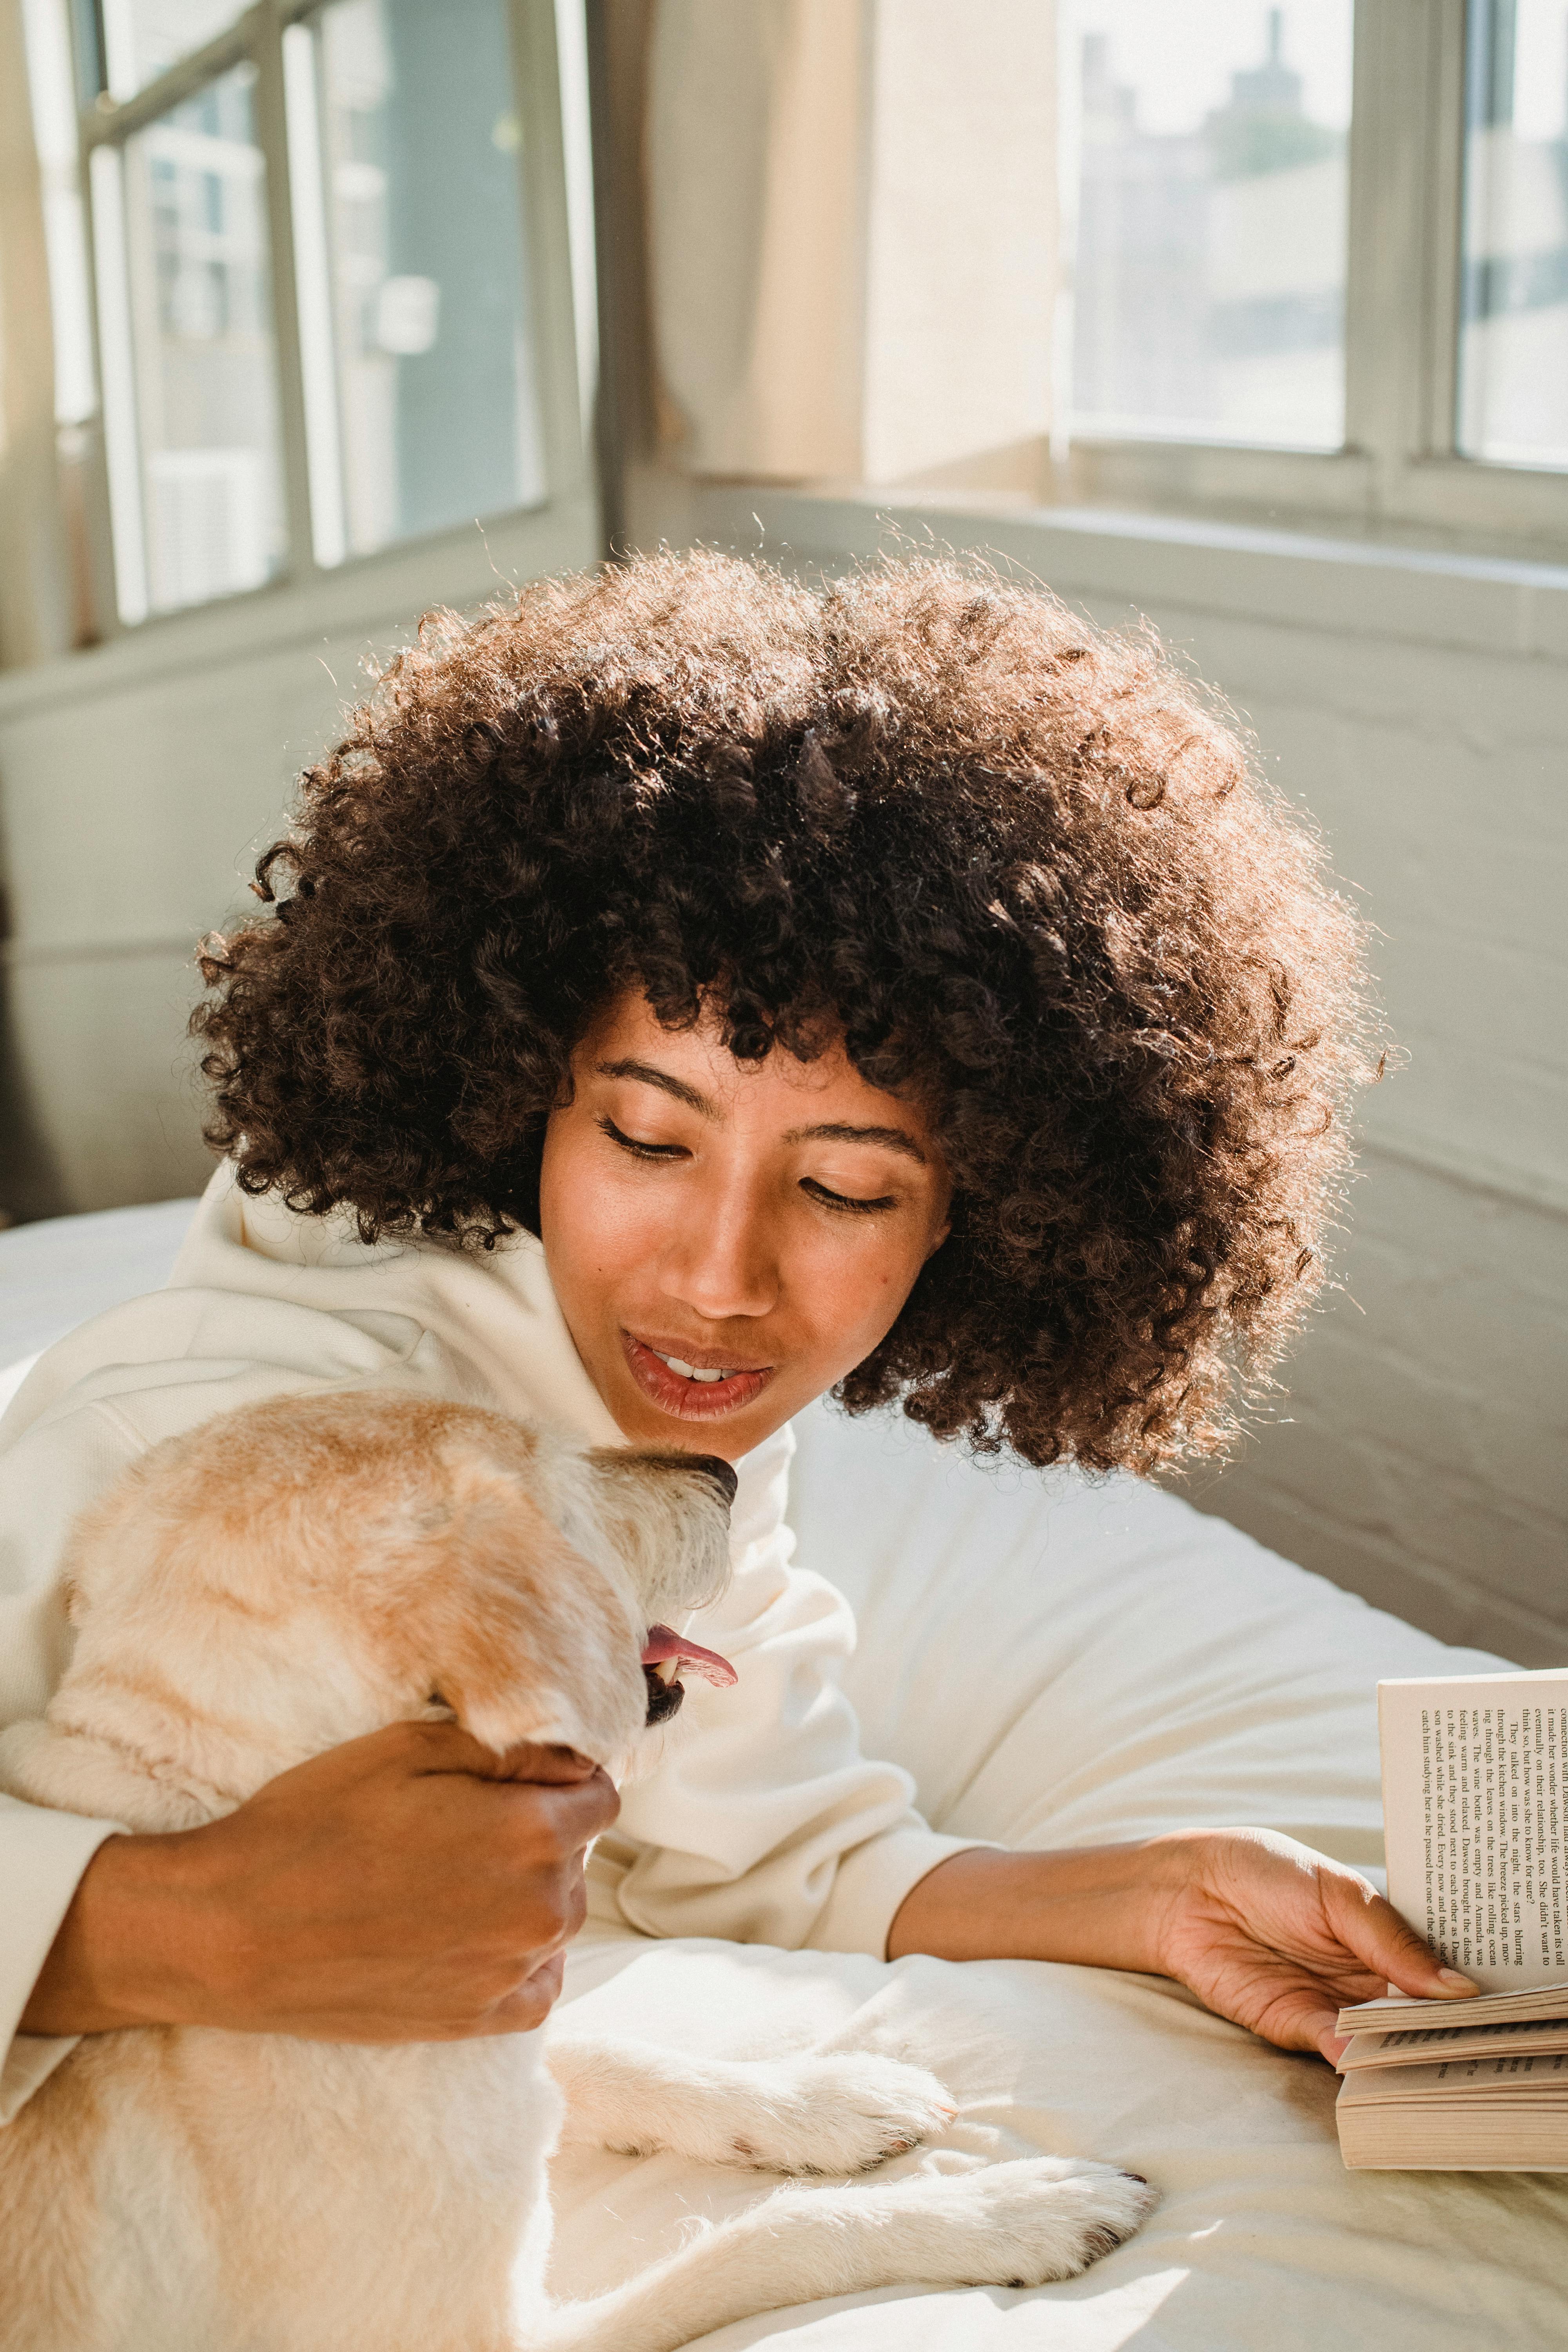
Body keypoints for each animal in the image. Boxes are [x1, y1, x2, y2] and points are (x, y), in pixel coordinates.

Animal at [0, 1383, 1152, 2343]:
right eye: (567, 1496)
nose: (723, 1471)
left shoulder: (506, 2025)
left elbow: (611, 2054)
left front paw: (825, 2101)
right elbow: (764, 2239)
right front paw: (1009, 2208)